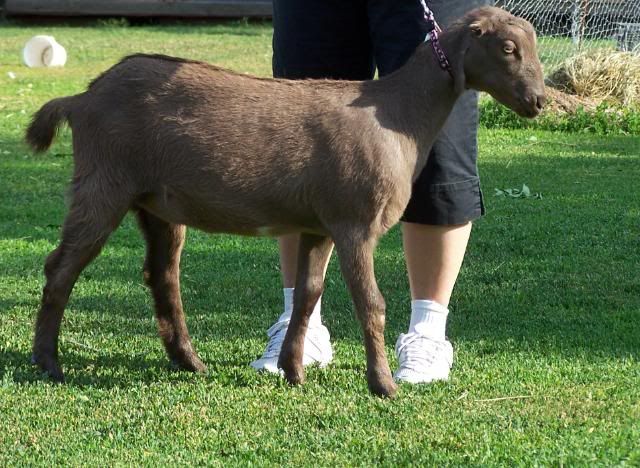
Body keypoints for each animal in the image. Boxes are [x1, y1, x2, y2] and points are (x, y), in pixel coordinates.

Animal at [26, 6, 545, 397]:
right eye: (507, 48)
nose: (538, 101)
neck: (397, 115)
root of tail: (81, 99)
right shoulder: (354, 221)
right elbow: (370, 302)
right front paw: (383, 386)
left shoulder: (318, 224)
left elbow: (309, 293)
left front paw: (294, 372)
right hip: (103, 183)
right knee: (62, 267)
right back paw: (48, 363)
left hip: (156, 204)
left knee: (161, 275)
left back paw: (189, 362)